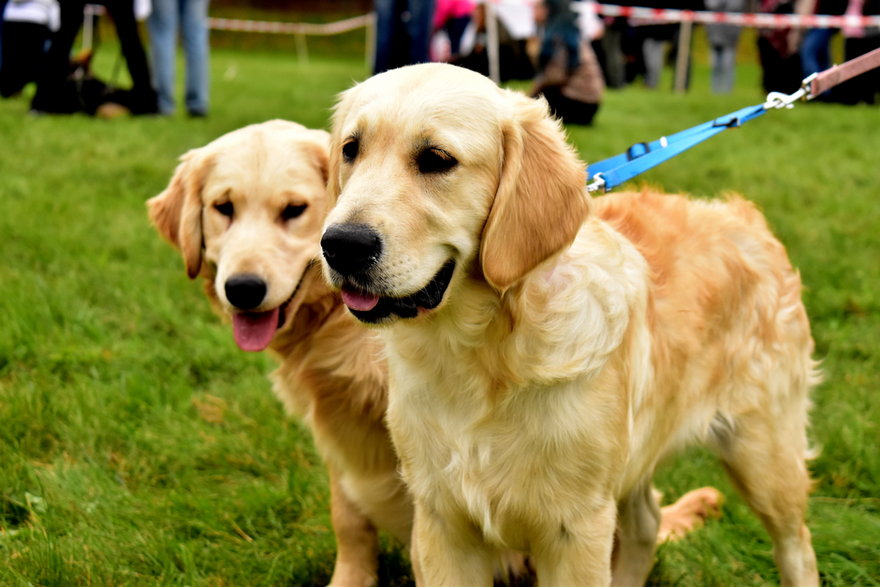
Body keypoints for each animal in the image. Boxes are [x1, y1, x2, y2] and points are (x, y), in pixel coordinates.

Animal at [322, 62, 820, 584]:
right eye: (351, 149)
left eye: (437, 159)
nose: (340, 244)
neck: (484, 354)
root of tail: (748, 219)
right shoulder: (442, 522)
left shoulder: (575, 528)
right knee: (647, 521)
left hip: (763, 458)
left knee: (797, 545)